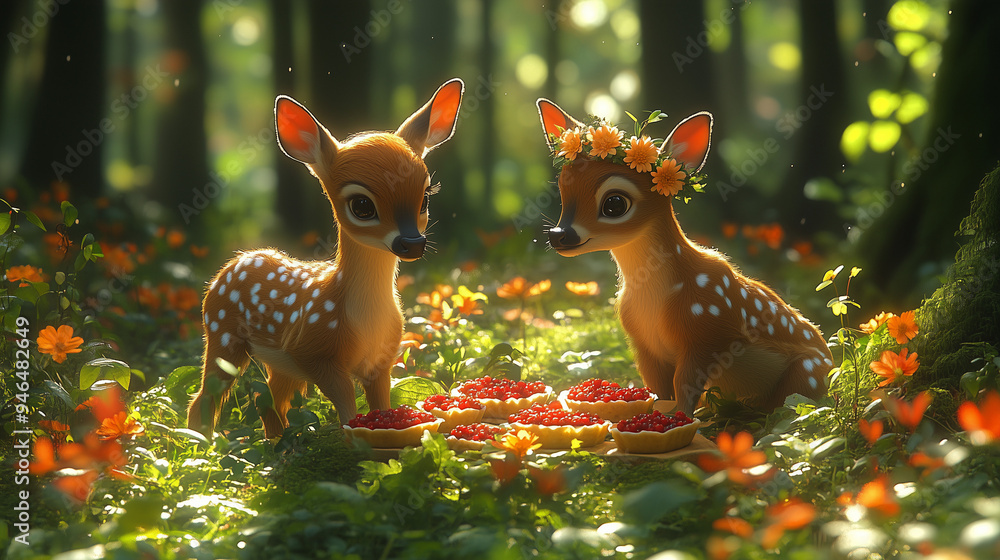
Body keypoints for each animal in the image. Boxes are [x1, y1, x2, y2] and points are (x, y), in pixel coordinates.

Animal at [187, 78, 464, 439]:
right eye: (362, 205)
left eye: (426, 198)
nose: (413, 243)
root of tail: (235, 262)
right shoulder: (316, 354)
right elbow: (346, 410)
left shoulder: (381, 362)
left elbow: (382, 405)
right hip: (222, 332)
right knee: (206, 397)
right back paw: (200, 443)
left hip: (278, 362)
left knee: (267, 401)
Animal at [536, 98, 833, 414]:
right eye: (562, 188)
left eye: (614, 203)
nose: (559, 234)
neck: (653, 294)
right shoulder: (643, 344)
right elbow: (659, 389)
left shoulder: (707, 334)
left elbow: (684, 386)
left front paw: (682, 418)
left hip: (807, 372)